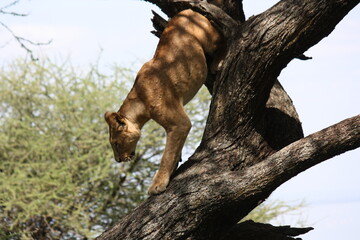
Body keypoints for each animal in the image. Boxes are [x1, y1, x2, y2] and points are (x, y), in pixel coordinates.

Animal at [104, 8, 222, 195]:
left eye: (116, 143)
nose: (117, 160)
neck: (139, 101)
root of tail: (187, 9)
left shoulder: (179, 123)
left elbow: (166, 155)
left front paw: (157, 185)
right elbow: (173, 151)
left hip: (209, 39)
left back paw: (217, 63)